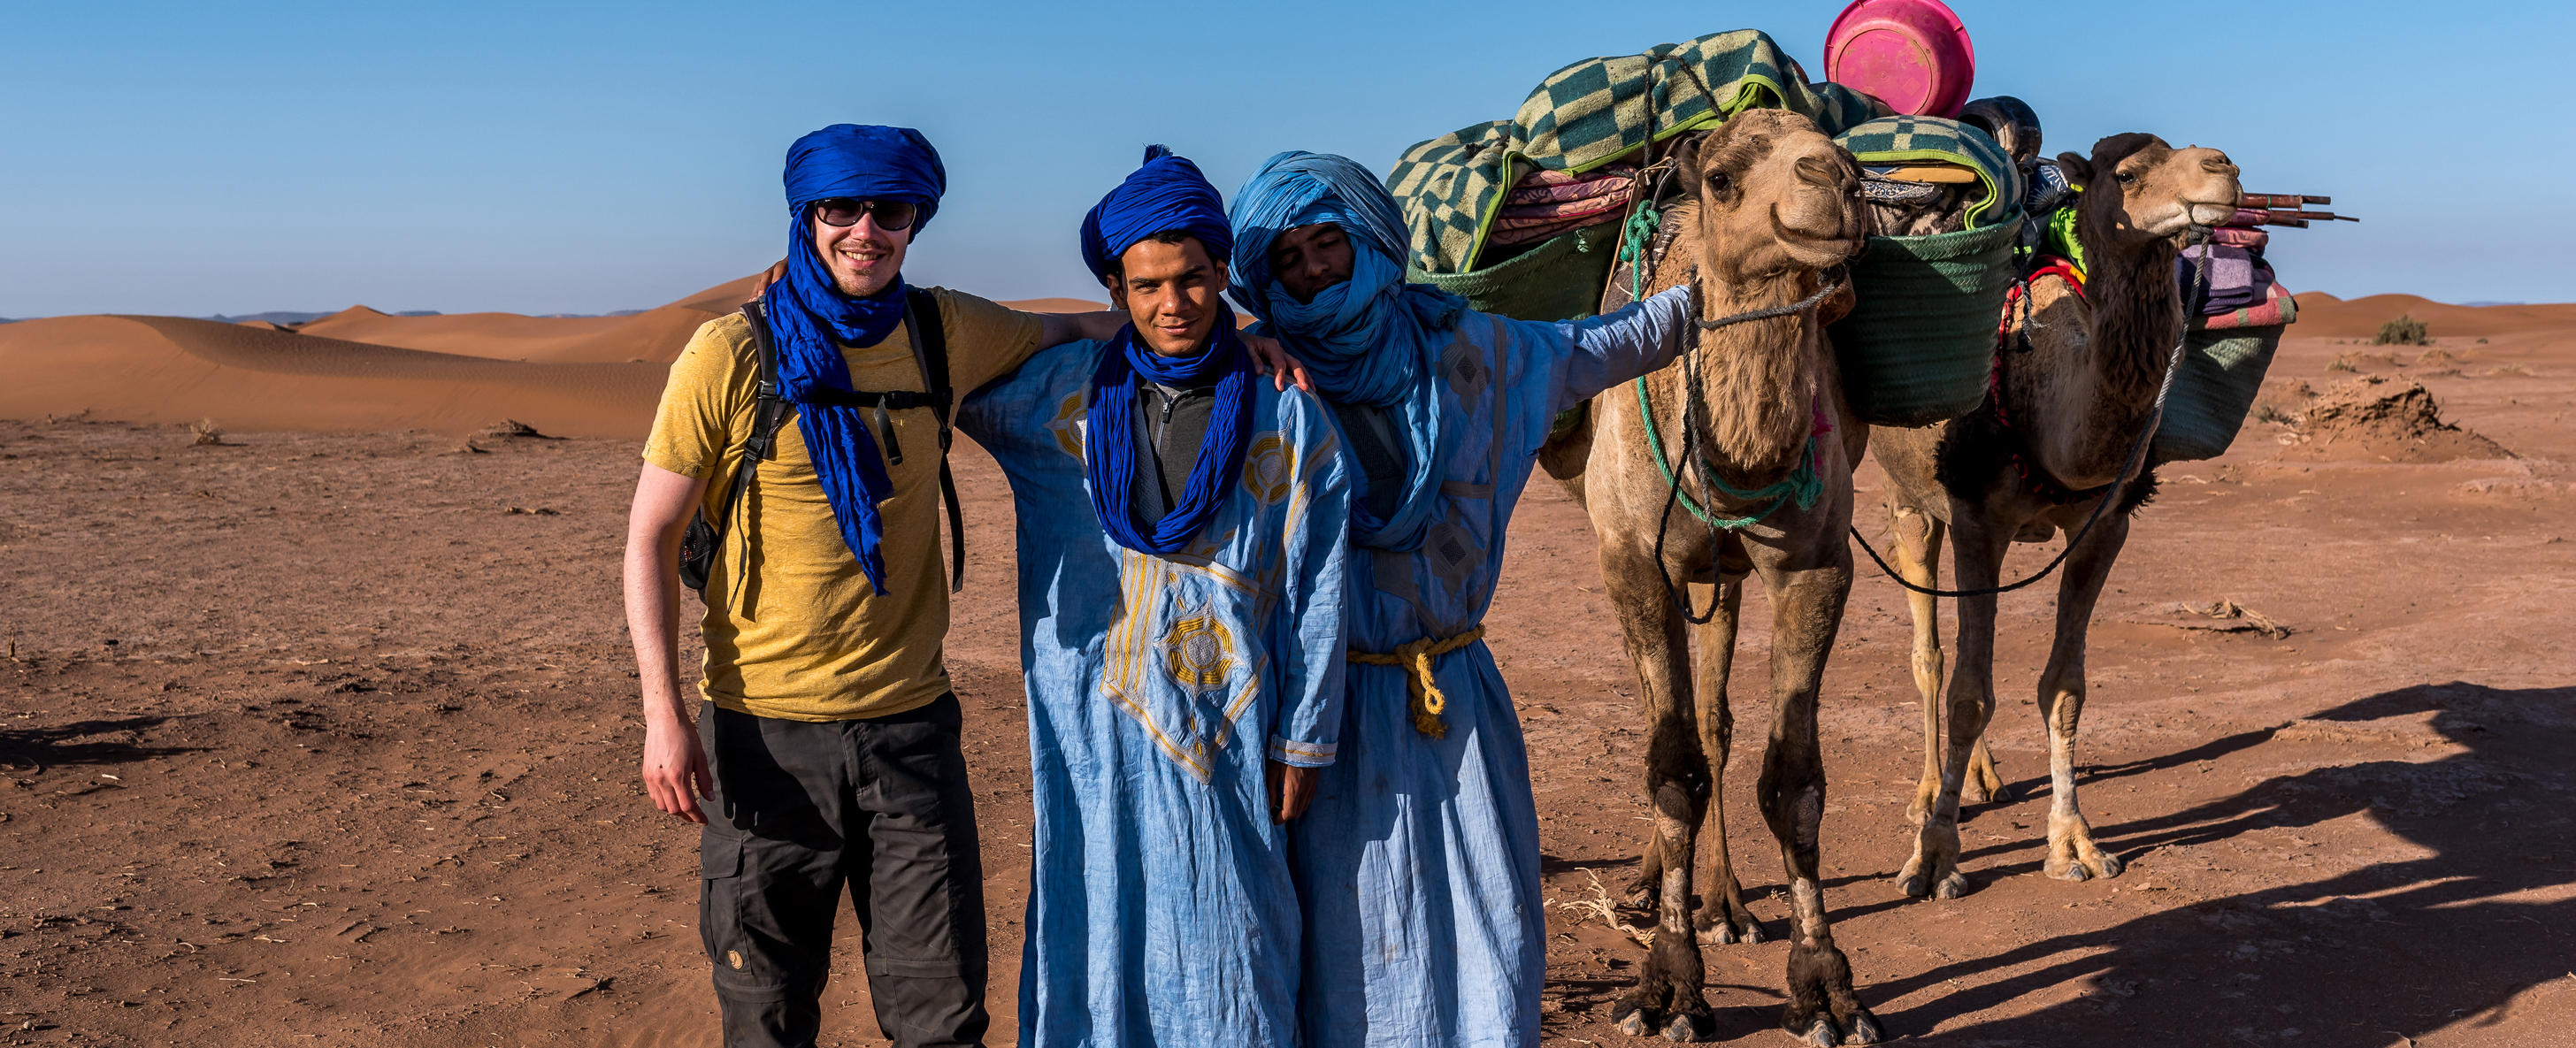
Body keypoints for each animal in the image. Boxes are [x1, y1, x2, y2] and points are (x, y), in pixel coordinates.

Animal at [1535, 109, 1885, 1048]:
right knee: (1678, 725)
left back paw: (1722, 899)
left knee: (1714, 716)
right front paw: (1667, 987)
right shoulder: (1630, 558)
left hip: (1720, 573)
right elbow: (1669, 769)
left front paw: (1825, 989)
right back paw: (1657, 882)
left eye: (1838, 149)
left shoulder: (1814, 566)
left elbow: (1794, 779)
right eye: (1724, 178)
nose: (1836, 181)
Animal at [1865, 127, 2246, 901]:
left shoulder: (2104, 524)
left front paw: (2075, 844)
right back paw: (1928, 793)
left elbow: (2063, 687)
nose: (2222, 168)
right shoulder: (1977, 519)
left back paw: (1983, 779)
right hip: (1908, 501)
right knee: (1931, 655)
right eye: (2125, 174)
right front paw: (1935, 858)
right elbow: (1967, 692)